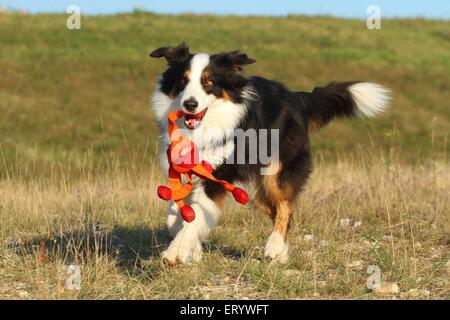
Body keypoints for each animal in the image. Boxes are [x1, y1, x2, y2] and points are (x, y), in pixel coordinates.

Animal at [150, 43, 390, 264]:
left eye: (208, 82)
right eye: (183, 80)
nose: (190, 104)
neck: (202, 127)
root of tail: (296, 97)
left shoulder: (216, 176)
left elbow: (194, 217)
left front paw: (176, 252)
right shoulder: (178, 170)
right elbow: (176, 216)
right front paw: (193, 248)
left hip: (276, 174)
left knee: (285, 207)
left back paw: (274, 247)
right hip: (257, 192)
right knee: (277, 209)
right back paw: (281, 253)